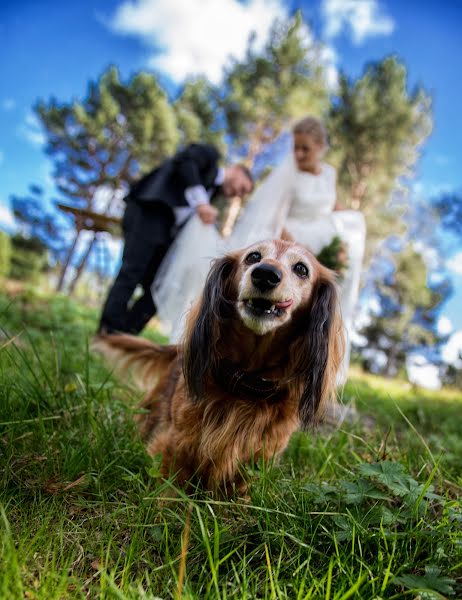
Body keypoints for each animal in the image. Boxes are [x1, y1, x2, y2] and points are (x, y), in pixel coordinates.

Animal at [94, 240, 344, 496]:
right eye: (253, 257)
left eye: (301, 269)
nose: (265, 274)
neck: (246, 383)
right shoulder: (177, 442)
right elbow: (170, 485)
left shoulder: (256, 462)